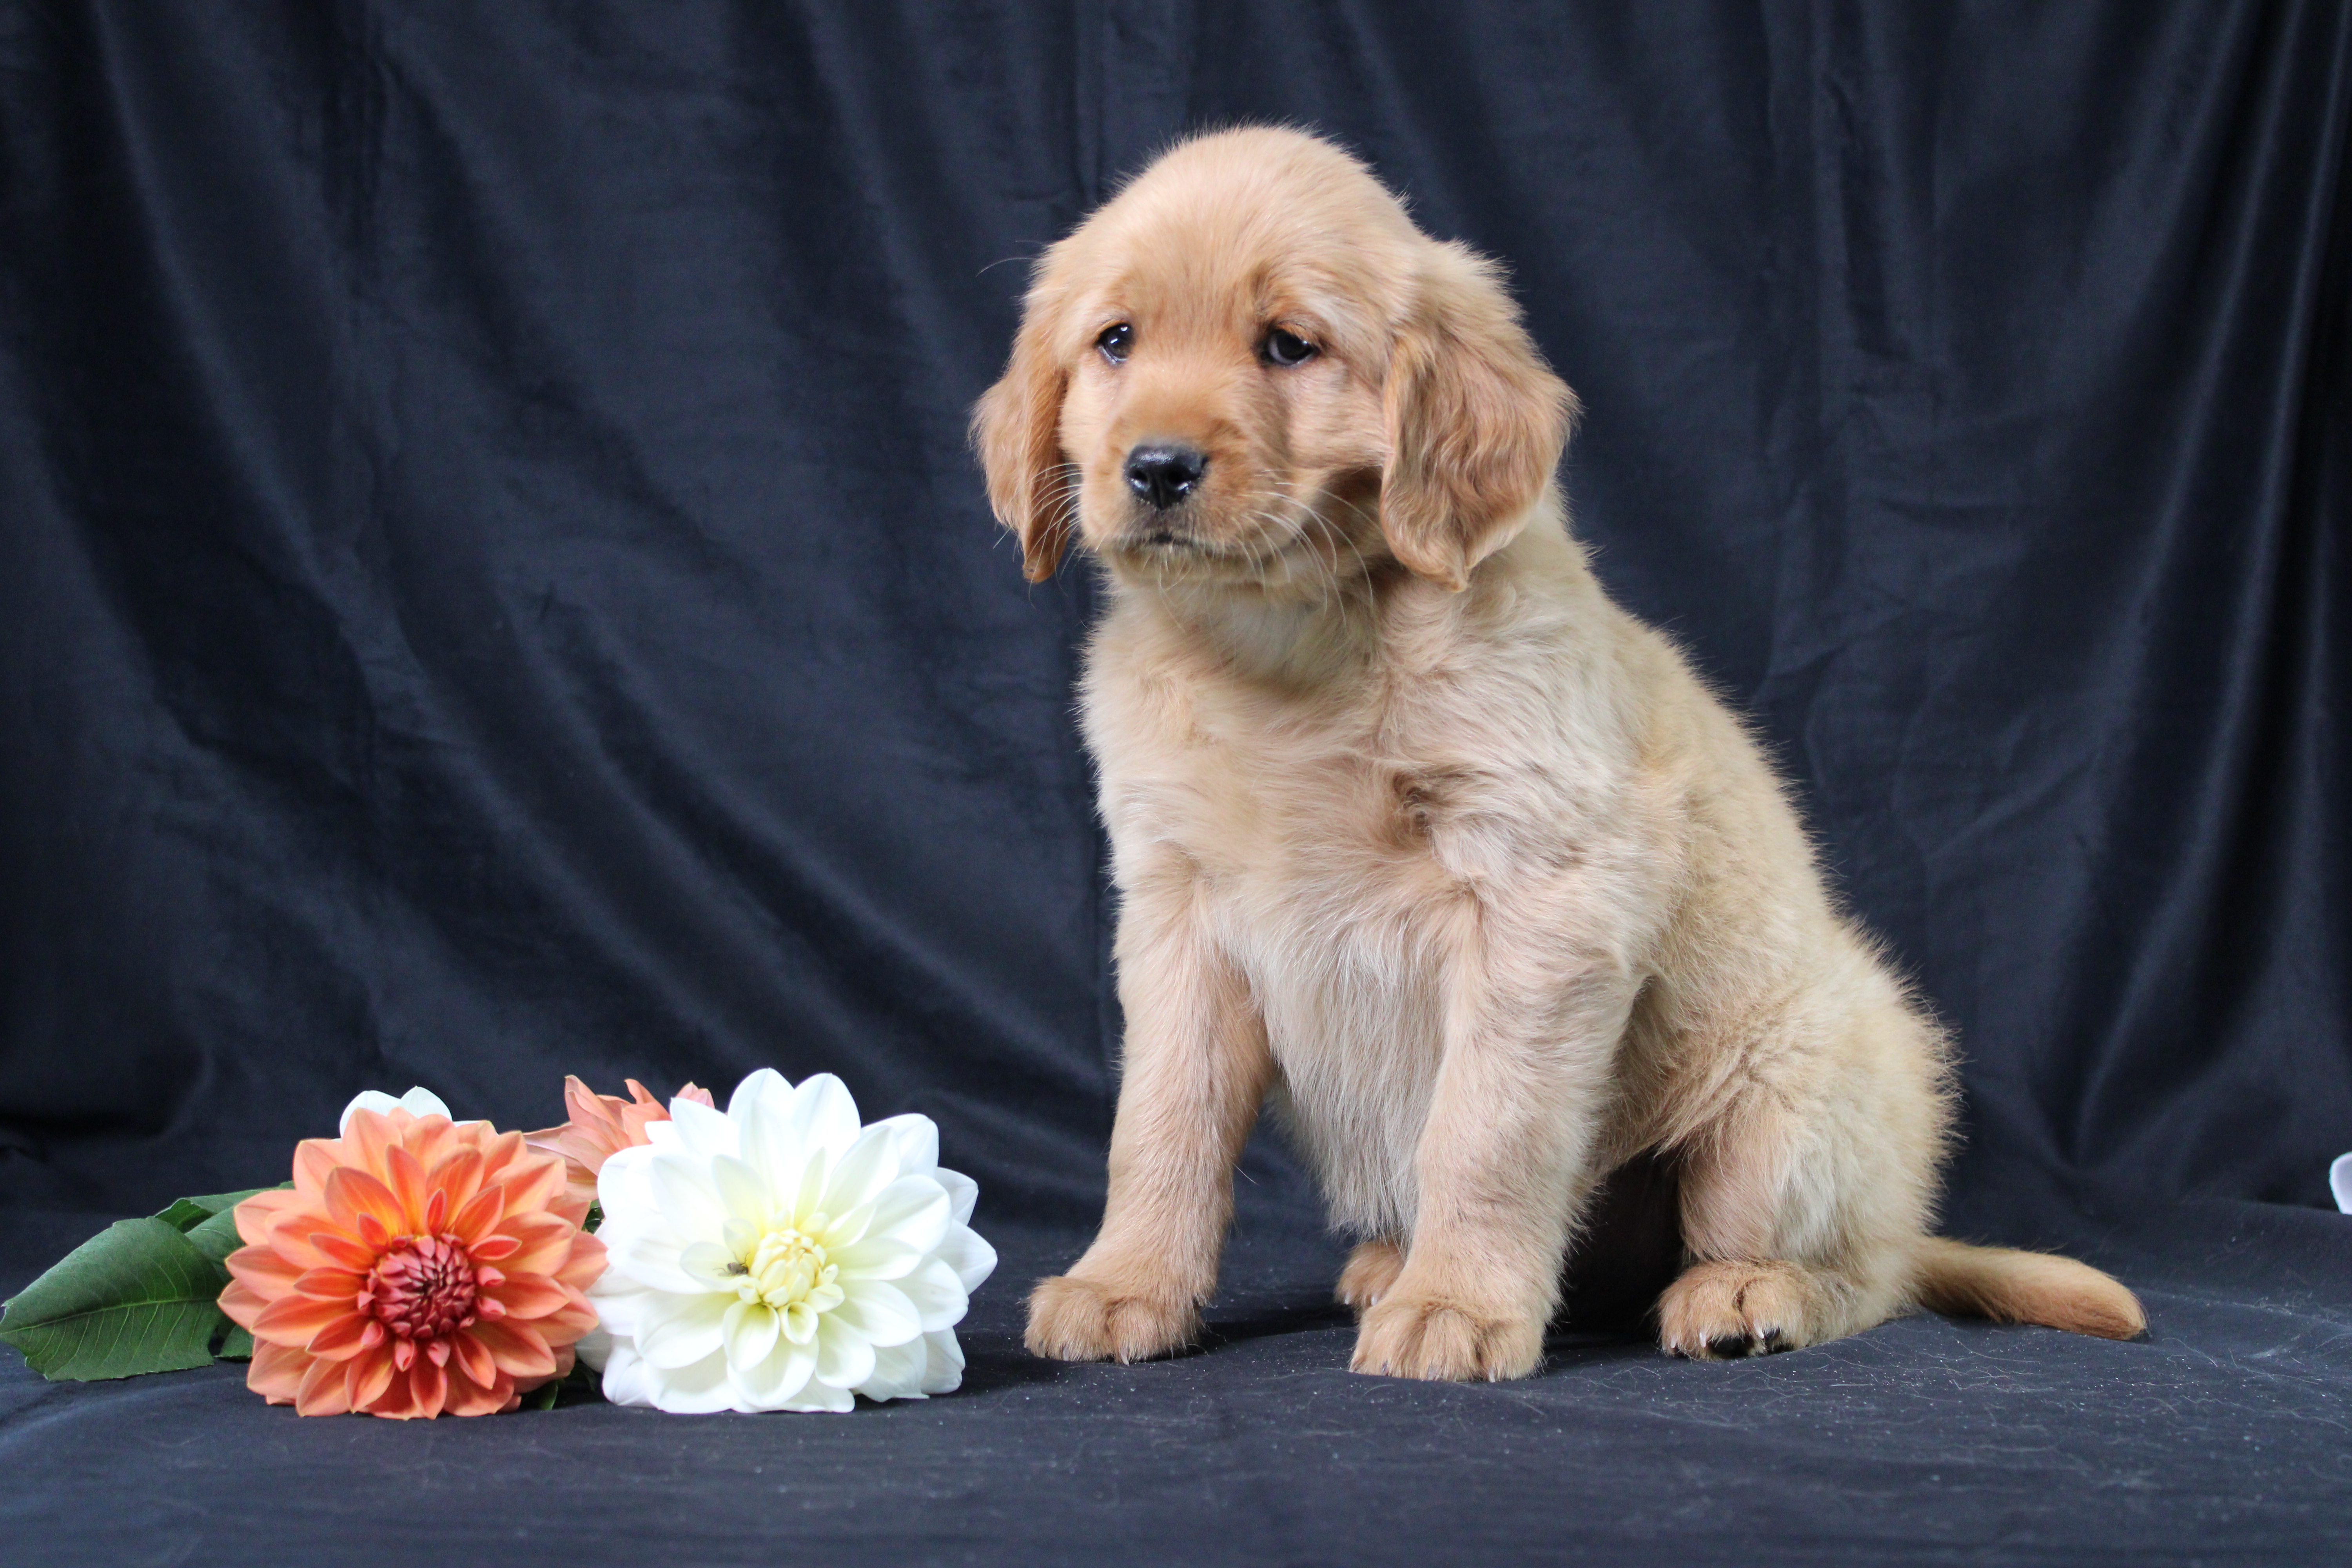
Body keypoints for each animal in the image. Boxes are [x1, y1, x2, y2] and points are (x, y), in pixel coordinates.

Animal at [964, 129, 2145, 1382]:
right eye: (1115, 341)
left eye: (1289, 344)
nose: (1156, 469)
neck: (1287, 653)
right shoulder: (1175, 909)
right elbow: (1161, 1121)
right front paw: (1127, 1283)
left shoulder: (1543, 895)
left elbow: (1486, 1127)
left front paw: (1459, 1304)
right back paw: (1393, 1263)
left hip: (1787, 1097)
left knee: (1857, 1274)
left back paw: (1744, 1293)